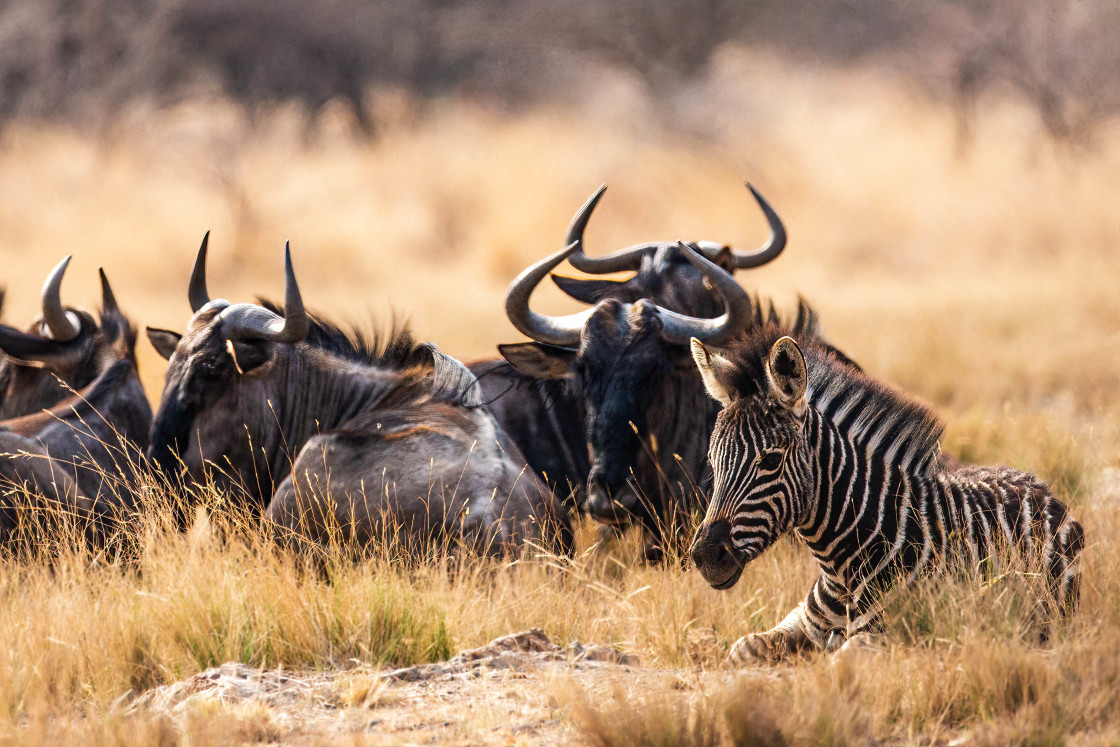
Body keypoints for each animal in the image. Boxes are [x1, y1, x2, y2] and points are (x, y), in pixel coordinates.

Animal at [689, 327, 1084, 667]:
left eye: (770, 460)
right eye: (712, 460)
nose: (706, 556)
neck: (840, 564)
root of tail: (1036, 481)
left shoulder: (899, 633)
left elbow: (838, 661)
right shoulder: (801, 619)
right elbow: (743, 648)